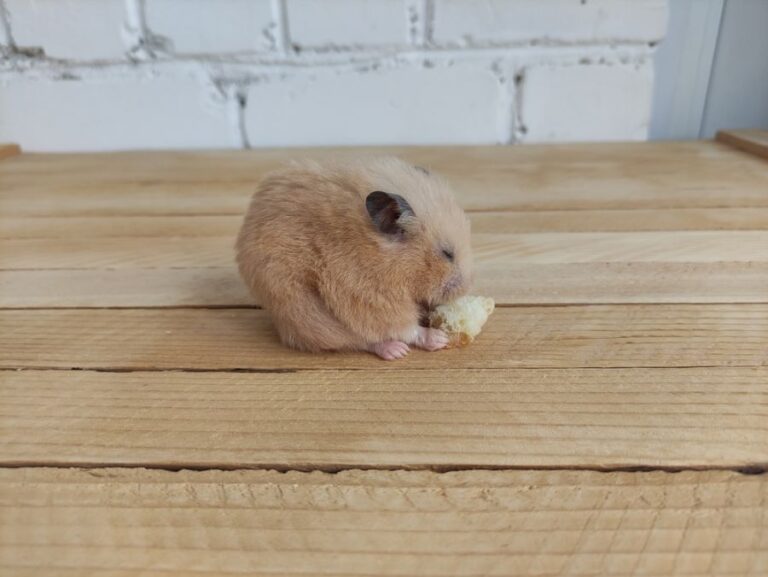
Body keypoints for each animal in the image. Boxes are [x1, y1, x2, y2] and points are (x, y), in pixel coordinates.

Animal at [235, 157, 473, 360]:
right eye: (447, 254)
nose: (466, 290)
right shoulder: (367, 295)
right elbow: (402, 326)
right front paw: (439, 337)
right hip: (306, 314)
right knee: (354, 340)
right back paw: (396, 350)